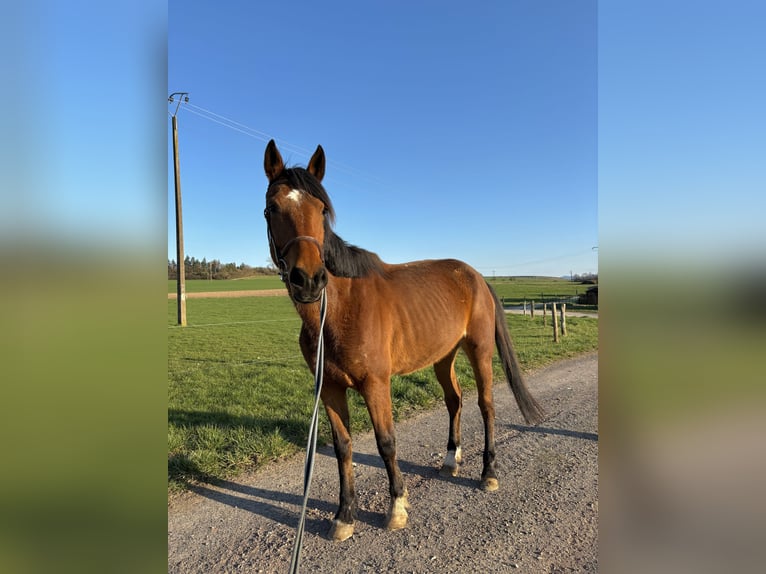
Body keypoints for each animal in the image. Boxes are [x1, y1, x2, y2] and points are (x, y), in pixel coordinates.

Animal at [263, 139, 545, 541]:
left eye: (321, 209)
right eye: (273, 207)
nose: (309, 279)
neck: (340, 312)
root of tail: (475, 276)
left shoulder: (375, 384)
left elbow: (386, 442)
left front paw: (396, 507)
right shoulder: (329, 388)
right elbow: (343, 447)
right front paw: (344, 516)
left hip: (479, 351)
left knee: (486, 405)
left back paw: (488, 473)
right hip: (443, 357)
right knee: (454, 400)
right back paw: (450, 459)